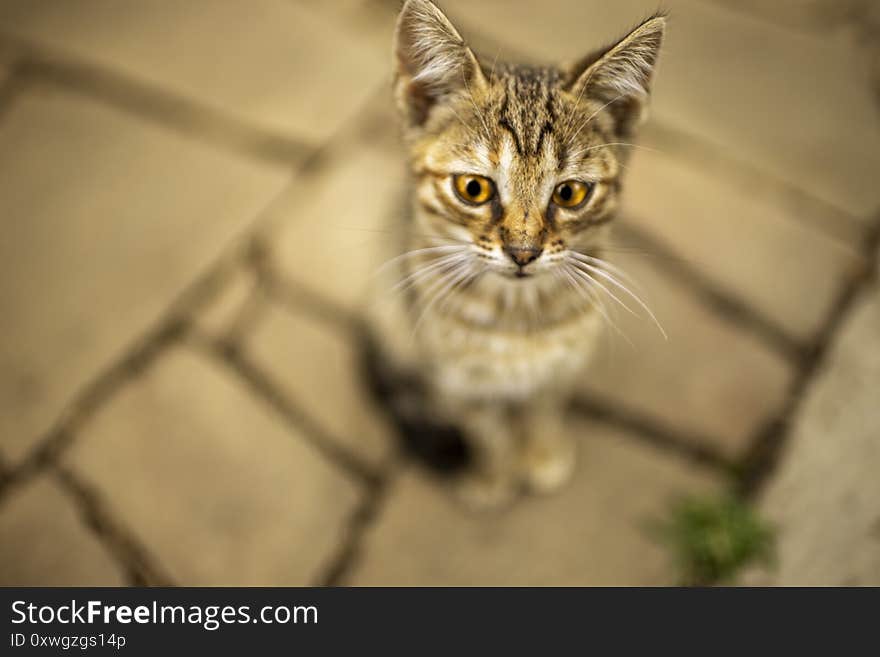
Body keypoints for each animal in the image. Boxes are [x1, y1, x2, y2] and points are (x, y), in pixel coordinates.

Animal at [368, 0, 664, 508]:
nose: (523, 252)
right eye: (473, 188)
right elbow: (488, 434)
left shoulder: (562, 365)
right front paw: (493, 480)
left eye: (570, 193)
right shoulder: (460, 380)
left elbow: (542, 410)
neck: (518, 318)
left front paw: (542, 458)